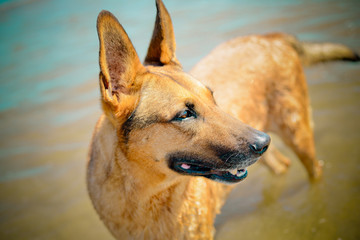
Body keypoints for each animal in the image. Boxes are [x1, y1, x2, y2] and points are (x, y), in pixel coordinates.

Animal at [86, 0, 358, 239]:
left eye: (212, 97)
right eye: (184, 115)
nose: (264, 142)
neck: (142, 194)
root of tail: (271, 37)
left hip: (298, 136)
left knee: (315, 170)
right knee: (282, 165)